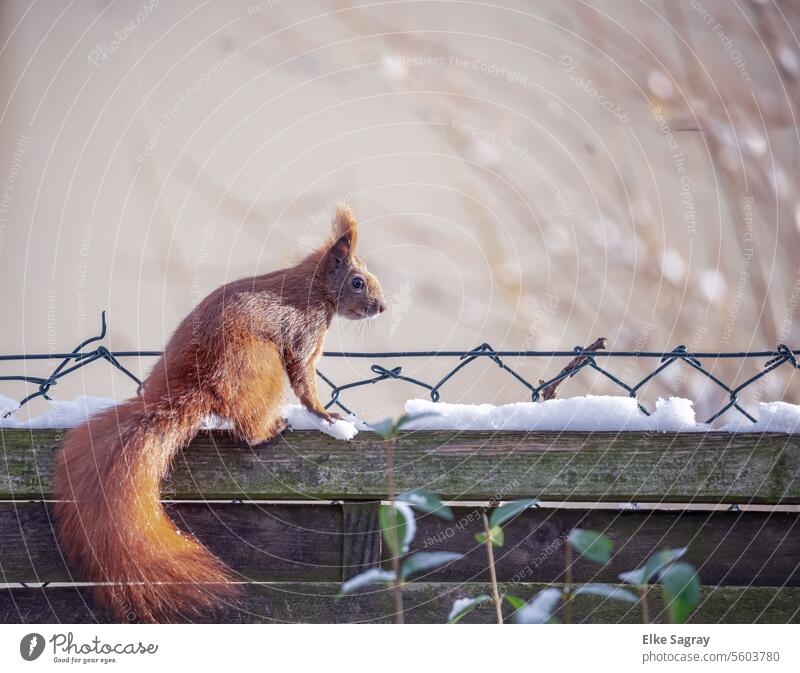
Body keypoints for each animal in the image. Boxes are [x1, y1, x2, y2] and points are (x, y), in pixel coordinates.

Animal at [53, 202, 384, 624]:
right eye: (357, 282)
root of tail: (198, 386)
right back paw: (271, 429)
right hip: (260, 367)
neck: (312, 288)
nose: (381, 307)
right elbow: (305, 382)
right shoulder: (303, 336)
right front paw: (329, 417)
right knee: (246, 429)